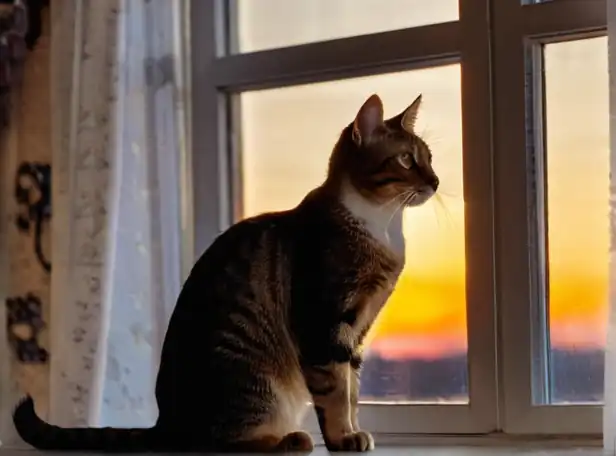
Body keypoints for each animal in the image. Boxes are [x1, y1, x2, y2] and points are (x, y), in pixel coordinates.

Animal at [12, 92, 440, 452]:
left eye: (430, 157)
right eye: (406, 160)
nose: (436, 181)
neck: (380, 225)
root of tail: (167, 424)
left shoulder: (355, 332)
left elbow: (350, 390)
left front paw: (354, 429)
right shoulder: (324, 324)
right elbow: (335, 393)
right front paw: (342, 439)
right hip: (252, 378)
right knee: (222, 442)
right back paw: (290, 440)